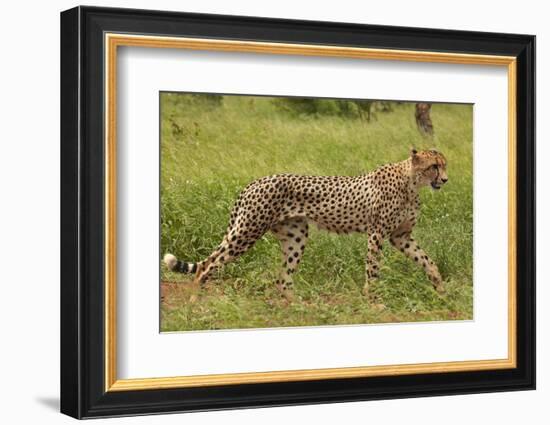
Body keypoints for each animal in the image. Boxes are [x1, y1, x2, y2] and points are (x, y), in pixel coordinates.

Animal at [164, 147, 448, 300]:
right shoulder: (377, 234)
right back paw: (195, 301)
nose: (445, 180)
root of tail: (255, 181)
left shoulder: (401, 236)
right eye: (434, 166)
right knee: (206, 266)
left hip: (295, 236)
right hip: (247, 231)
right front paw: (373, 299)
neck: (411, 182)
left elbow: (428, 260)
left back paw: (299, 307)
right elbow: (373, 269)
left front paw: (441, 289)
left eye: (444, 165)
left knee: (282, 280)